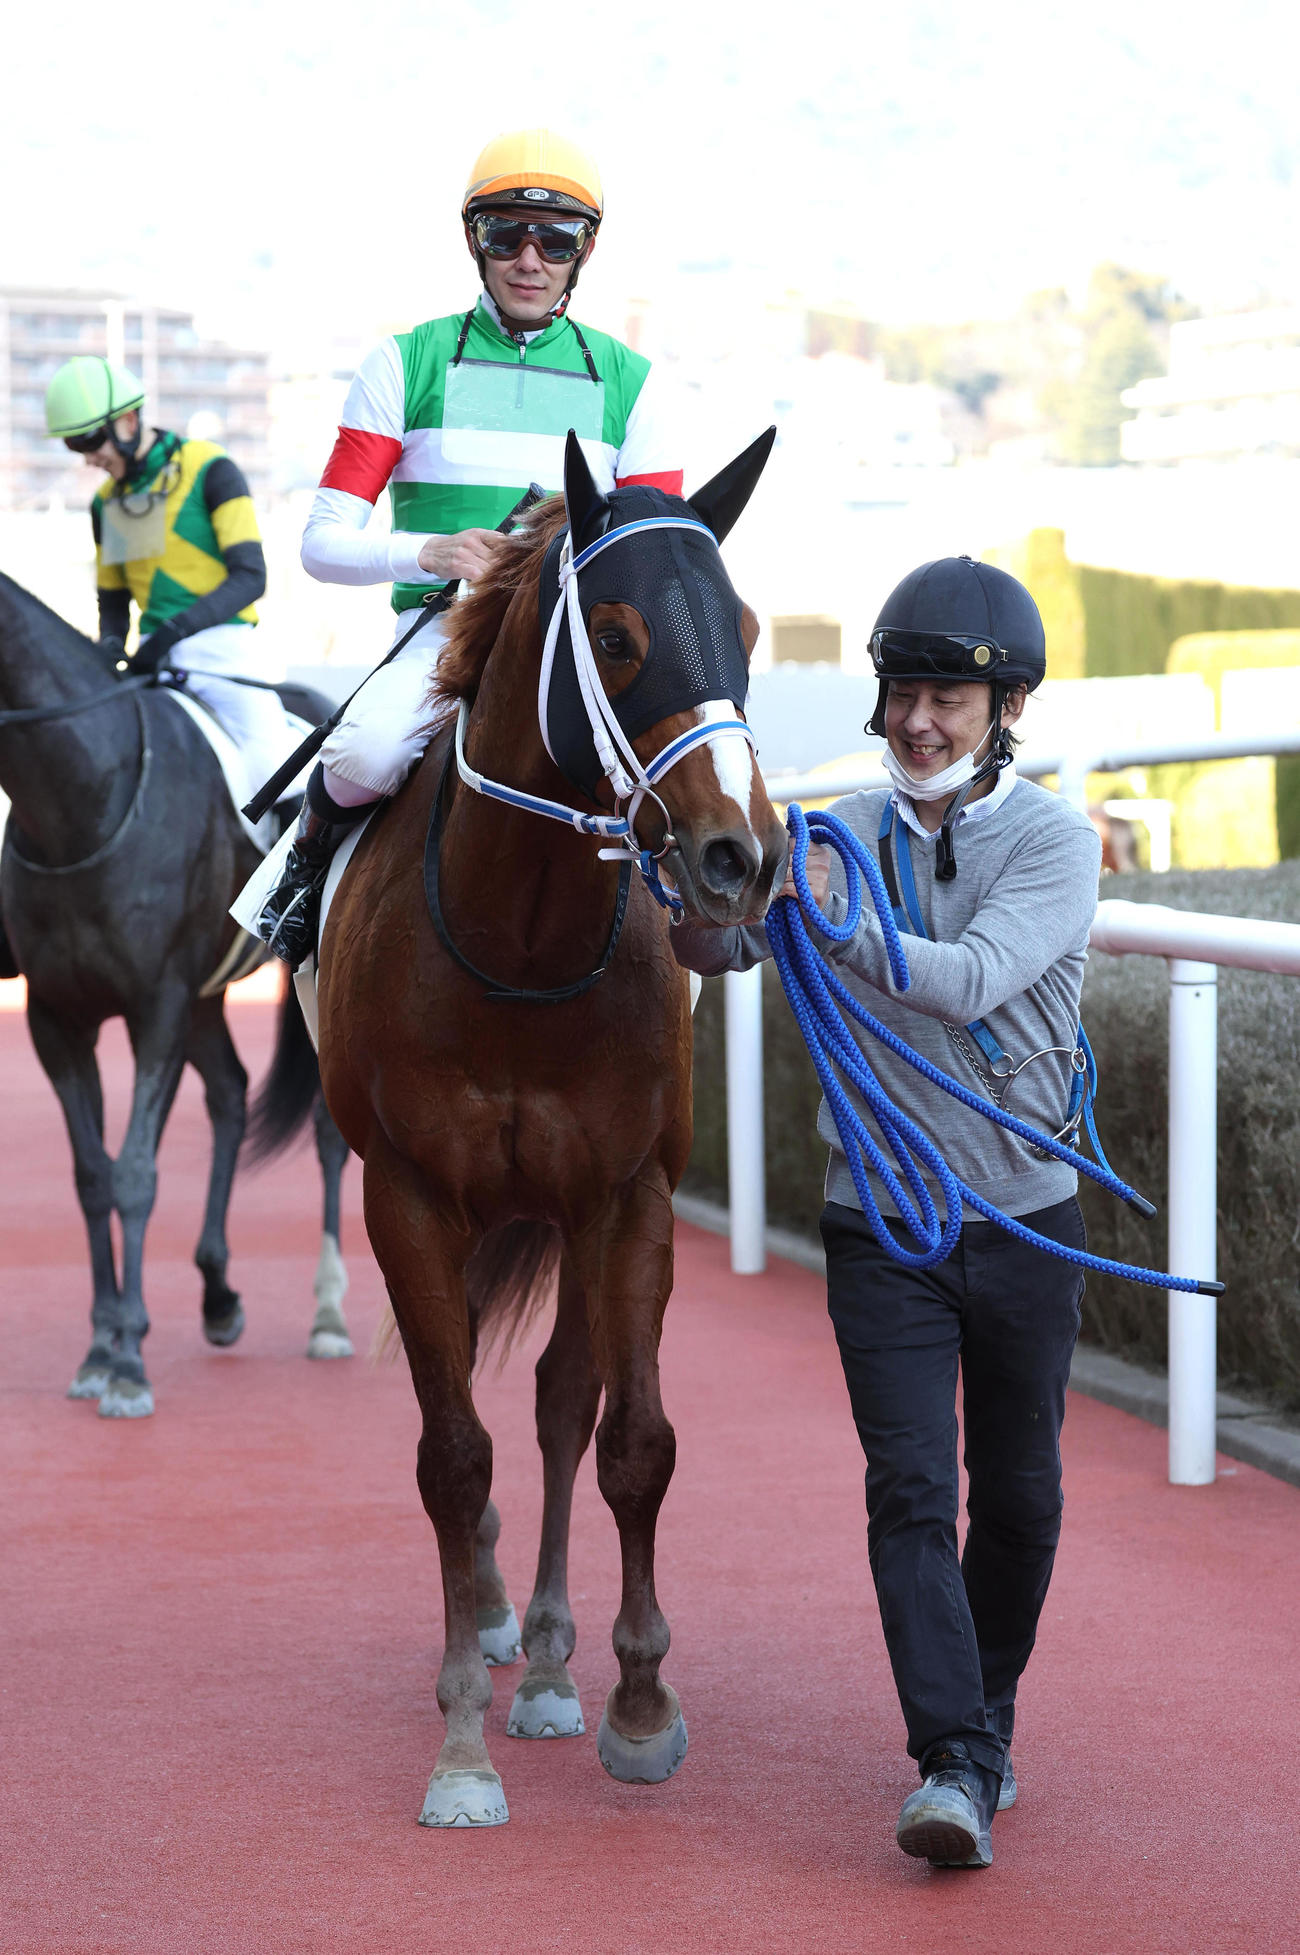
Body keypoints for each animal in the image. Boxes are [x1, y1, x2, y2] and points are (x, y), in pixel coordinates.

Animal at [0, 571, 354, 1418]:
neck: (84, 799)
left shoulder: (153, 1001)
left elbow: (135, 1173)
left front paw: (128, 1359)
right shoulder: (57, 1015)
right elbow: (94, 1174)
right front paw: (104, 1343)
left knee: (328, 1129)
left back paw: (328, 1312)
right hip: (202, 1000)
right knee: (228, 1092)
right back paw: (218, 1293)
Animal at [288, 429, 787, 1826]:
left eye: (744, 625)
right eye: (615, 636)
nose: (739, 856)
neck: (516, 945)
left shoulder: (624, 1191)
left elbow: (630, 1438)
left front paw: (637, 1702)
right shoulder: (408, 1194)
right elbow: (452, 1455)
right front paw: (462, 1738)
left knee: (565, 1399)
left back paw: (557, 1663)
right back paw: (499, 1618)